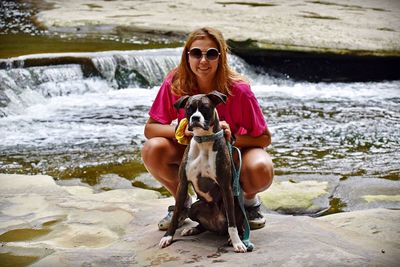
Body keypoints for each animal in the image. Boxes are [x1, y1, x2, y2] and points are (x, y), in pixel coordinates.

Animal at [159, 91, 247, 253]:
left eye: (205, 108)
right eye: (189, 108)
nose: (195, 118)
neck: (204, 140)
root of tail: (216, 226)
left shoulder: (226, 187)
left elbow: (232, 223)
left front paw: (237, 242)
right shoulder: (182, 185)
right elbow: (176, 214)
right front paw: (167, 237)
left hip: (237, 204)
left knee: (237, 225)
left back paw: (232, 237)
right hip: (194, 207)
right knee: (202, 225)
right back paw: (193, 229)